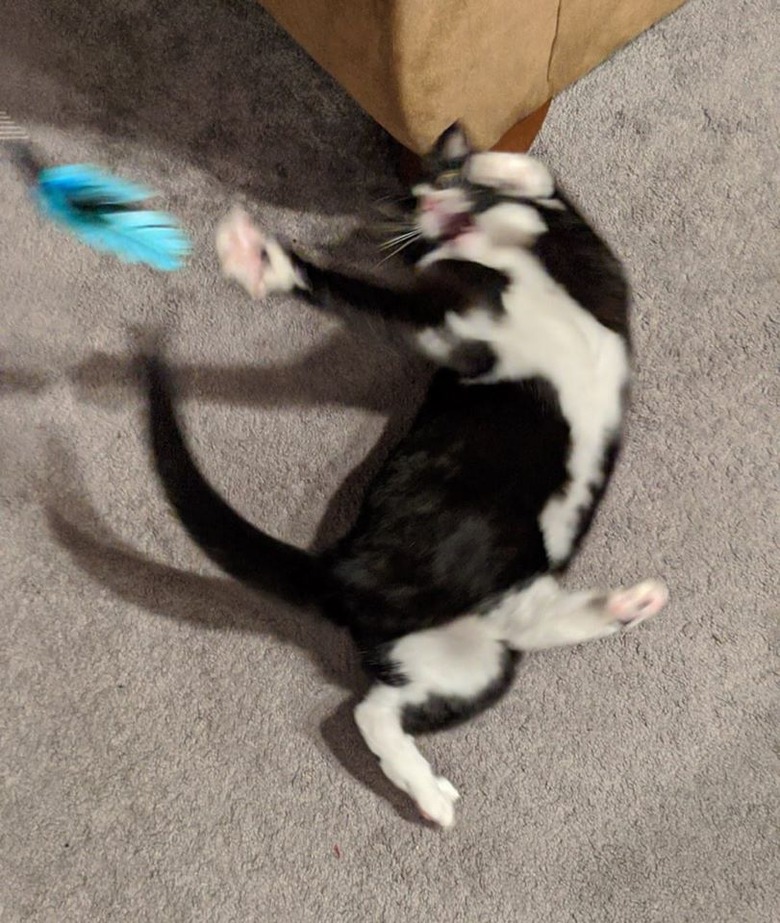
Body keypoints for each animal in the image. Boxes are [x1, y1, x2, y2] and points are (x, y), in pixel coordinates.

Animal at [146, 124, 672, 832]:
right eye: (403, 202)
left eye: (432, 185)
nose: (431, 200)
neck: (488, 252)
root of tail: (342, 570)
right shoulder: (456, 336)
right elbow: (365, 299)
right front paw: (265, 260)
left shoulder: (596, 277)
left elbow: (545, 190)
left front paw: (491, 167)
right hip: (475, 598)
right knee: (377, 709)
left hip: (475, 659)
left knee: (397, 699)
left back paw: (625, 608)